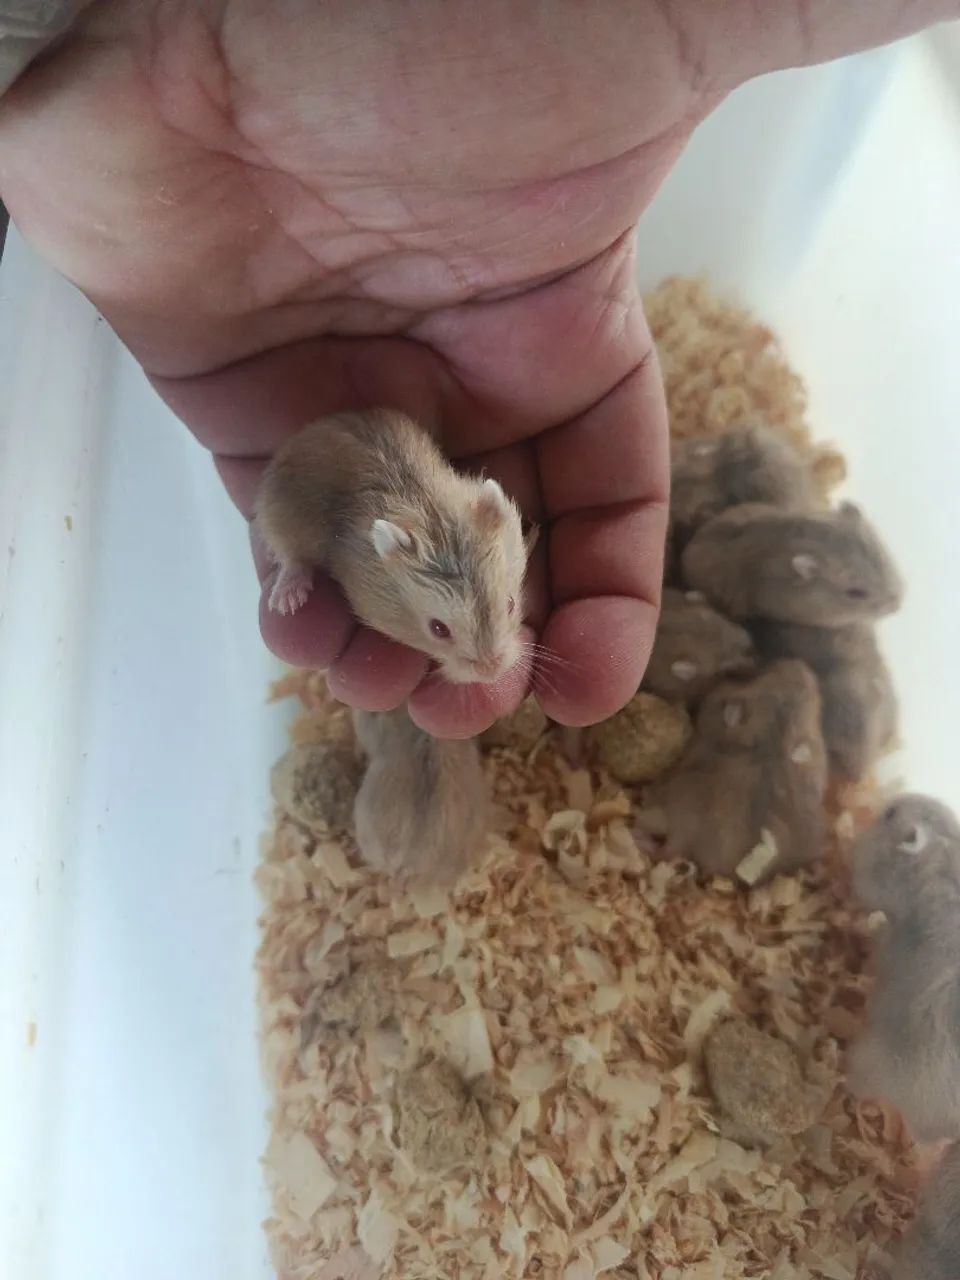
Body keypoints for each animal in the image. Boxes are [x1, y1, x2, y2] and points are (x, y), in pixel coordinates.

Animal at [255, 409, 532, 685]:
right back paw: (287, 601)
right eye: (438, 629)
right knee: (290, 557)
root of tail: (303, 434)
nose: (492, 671)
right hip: (279, 514)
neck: (431, 511)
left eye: (510, 604)